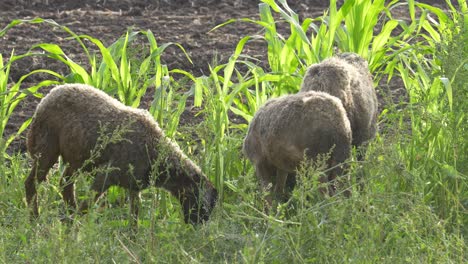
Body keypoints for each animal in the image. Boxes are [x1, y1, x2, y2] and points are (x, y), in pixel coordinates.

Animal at [24, 83, 218, 226]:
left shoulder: (134, 186)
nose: (197, 225)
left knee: (65, 183)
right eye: (202, 202)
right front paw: (76, 234)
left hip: (77, 156)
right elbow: (88, 206)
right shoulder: (106, 175)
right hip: (46, 147)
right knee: (32, 182)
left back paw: (69, 214)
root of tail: (52, 92)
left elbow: (134, 218)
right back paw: (35, 220)